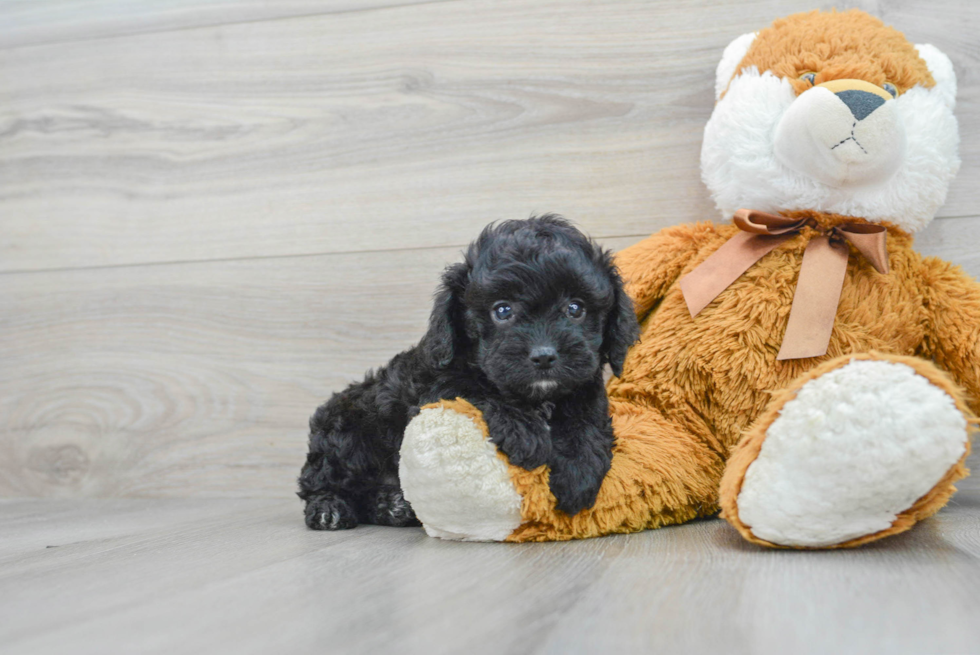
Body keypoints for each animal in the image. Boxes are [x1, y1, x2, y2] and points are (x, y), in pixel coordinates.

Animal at [294, 218, 640, 532]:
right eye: (502, 310)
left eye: (575, 308)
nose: (544, 355)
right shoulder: (435, 387)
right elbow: (475, 390)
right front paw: (525, 431)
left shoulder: (585, 386)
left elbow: (586, 422)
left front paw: (578, 473)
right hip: (344, 433)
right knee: (321, 481)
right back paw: (330, 508)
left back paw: (392, 505)